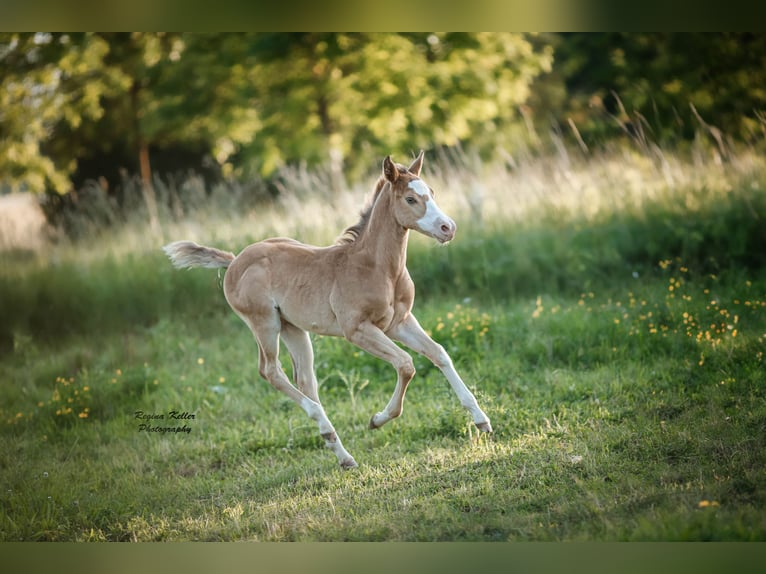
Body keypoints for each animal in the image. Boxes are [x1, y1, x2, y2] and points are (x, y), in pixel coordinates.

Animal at [165, 153, 496, 468]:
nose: (448, 228)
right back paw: (327, 428)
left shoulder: (399, 322)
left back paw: (341, 453)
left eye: (432, 192)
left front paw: (482, 421)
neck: (377, 268)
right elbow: (406, 364)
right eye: (410, 199)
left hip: (293, 328)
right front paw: (377, 419)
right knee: (270, 370)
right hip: (265, 323)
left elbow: (439, 353)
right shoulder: (358, 330)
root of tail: (234, 261)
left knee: (305, 379)